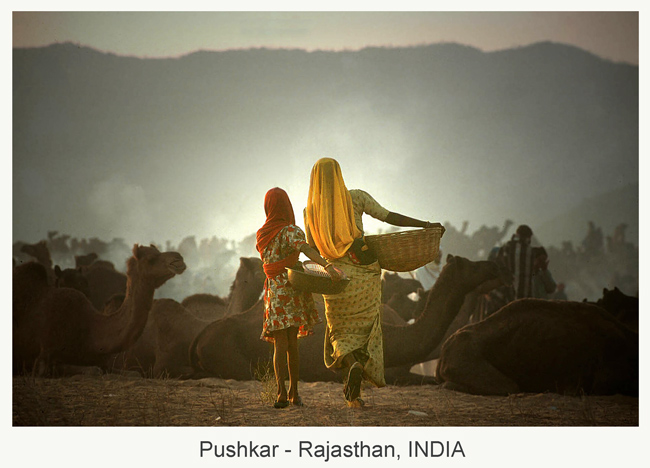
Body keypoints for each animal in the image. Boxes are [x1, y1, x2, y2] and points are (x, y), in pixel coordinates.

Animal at [13, 245, 185, 376]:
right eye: (151, 259)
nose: (179, 259)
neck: (91, 331)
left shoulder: (106, 362)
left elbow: (134, 373)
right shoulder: (44, 357)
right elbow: (93, 370)